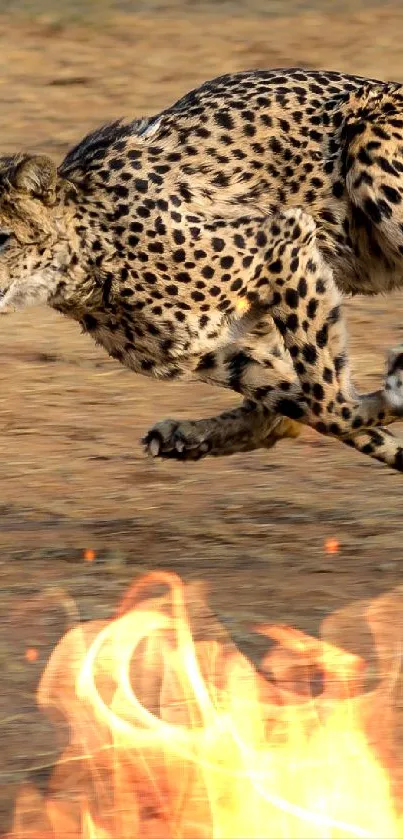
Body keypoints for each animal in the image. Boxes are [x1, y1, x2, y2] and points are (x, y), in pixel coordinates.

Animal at [0, 65, 403, 472]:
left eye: (2, 238)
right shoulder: (219, 350)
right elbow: (315, 408)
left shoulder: (284, 239)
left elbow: (327, 402)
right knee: (280, 415)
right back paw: (185, 437)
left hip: (368, 147)